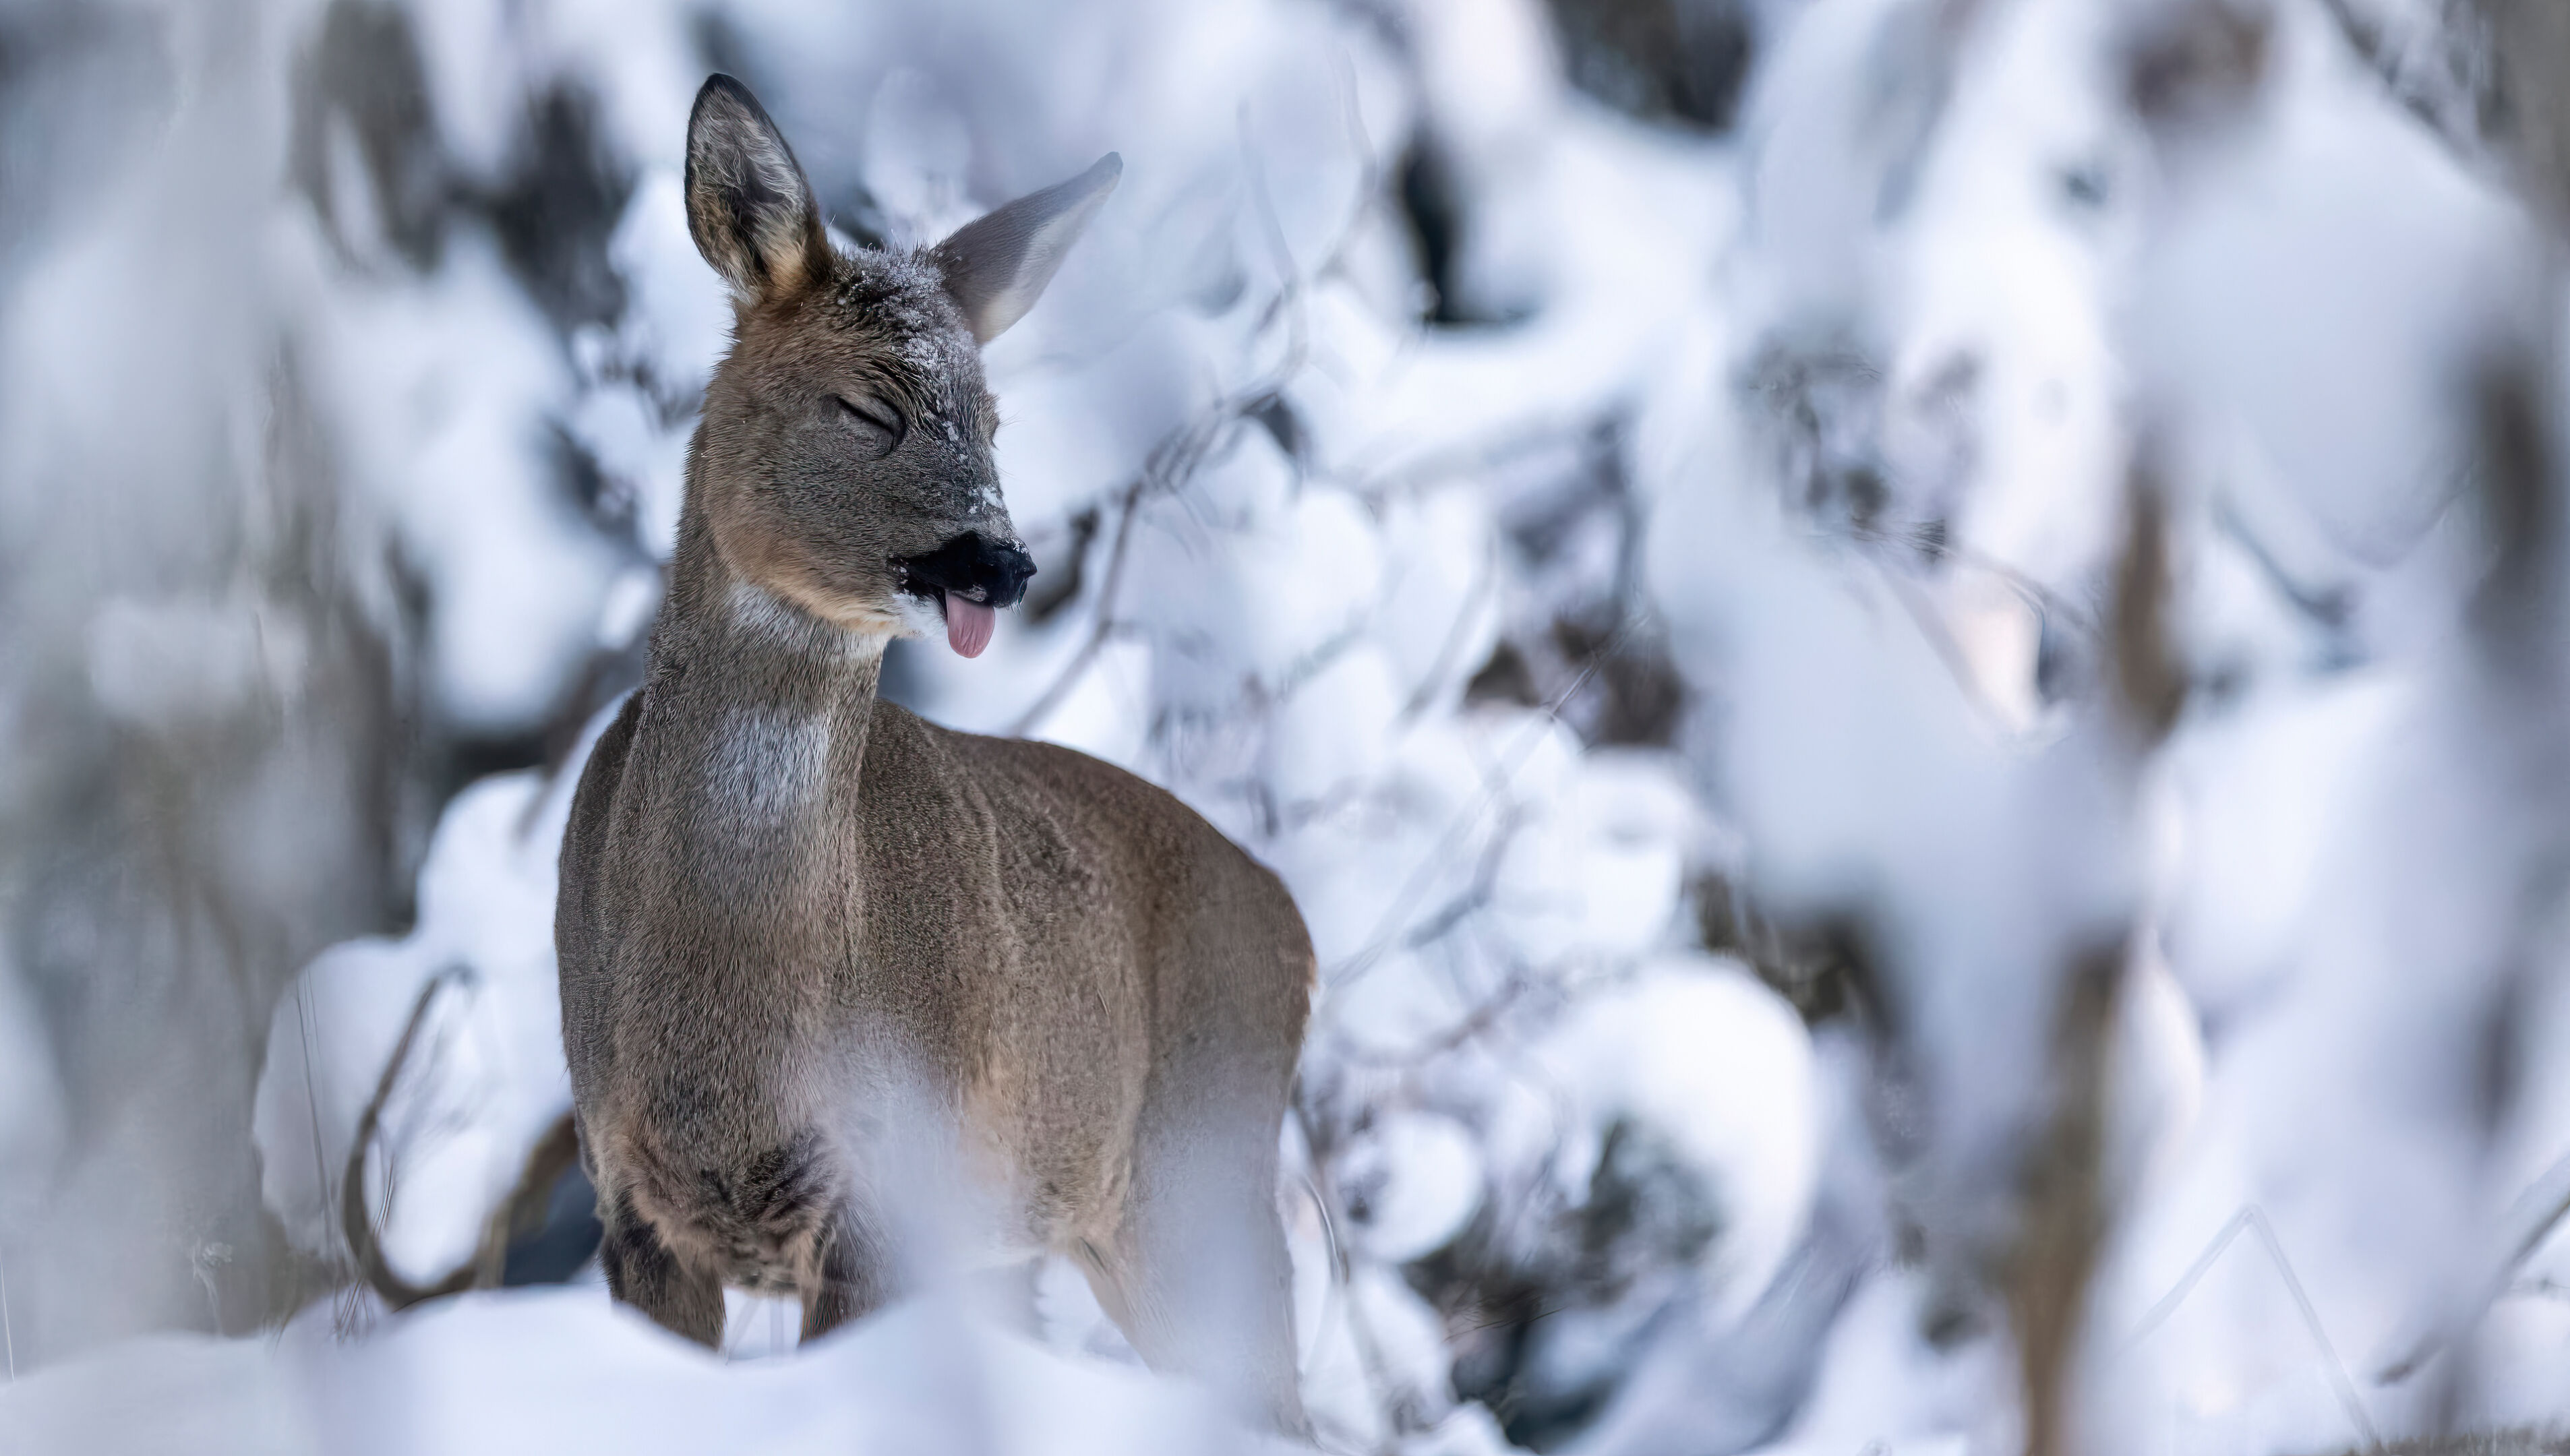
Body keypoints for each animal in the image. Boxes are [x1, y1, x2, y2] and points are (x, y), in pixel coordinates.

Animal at [550, 74, 1315, 1432]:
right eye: (869, 405)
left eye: (995, 419)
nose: (999, 560)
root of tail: (1297, 928)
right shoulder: (629, 1196)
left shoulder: (886, 1200)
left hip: (1194, 1189)